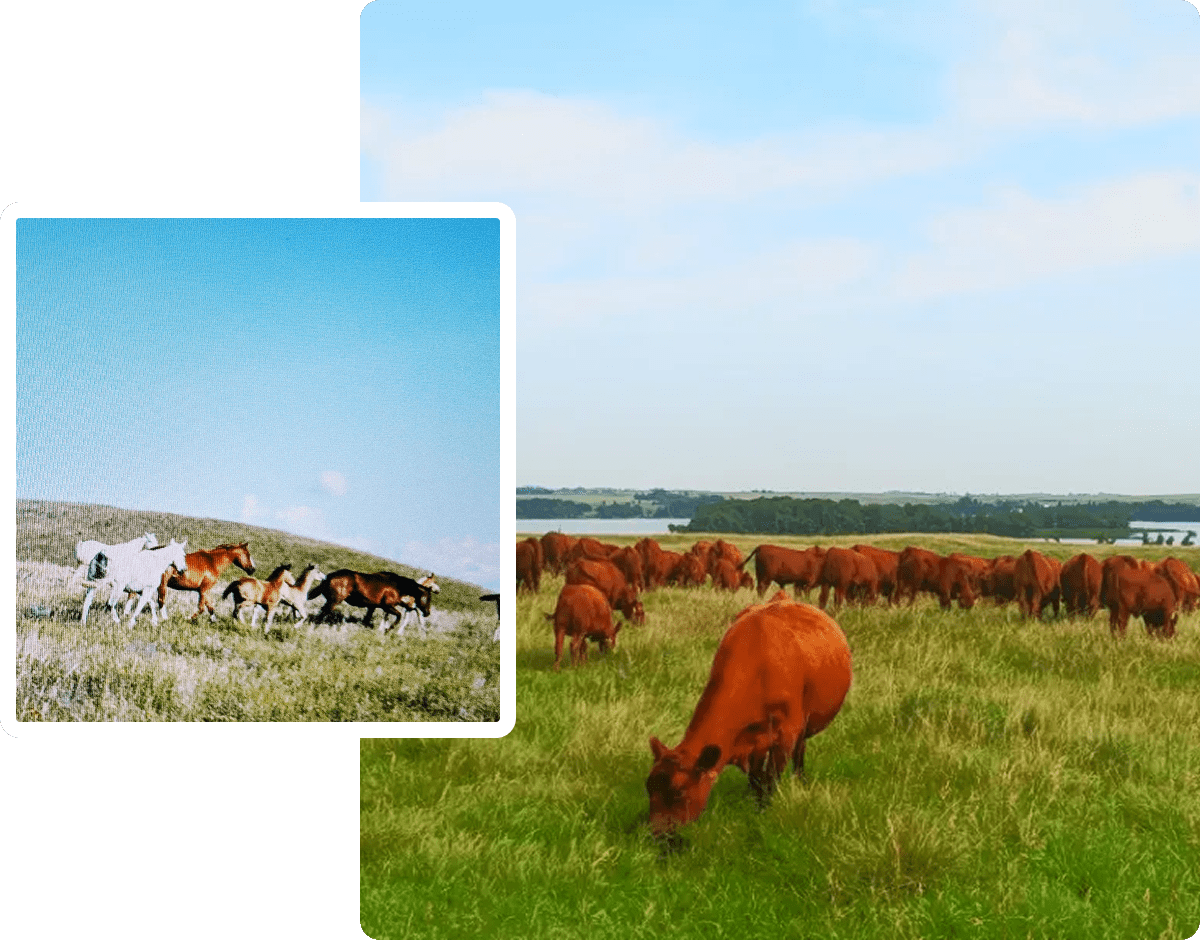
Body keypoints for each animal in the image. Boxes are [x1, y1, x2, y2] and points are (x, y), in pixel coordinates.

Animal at [645, 591, 852, 834]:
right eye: (648, 788)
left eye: (678, 792)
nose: (656, 834)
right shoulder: (753, 740)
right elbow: (756, 778)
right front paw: (754, 804)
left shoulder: (787, 732)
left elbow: (771, 778)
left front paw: (765, 811)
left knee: (799, 754)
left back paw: (800, 781)